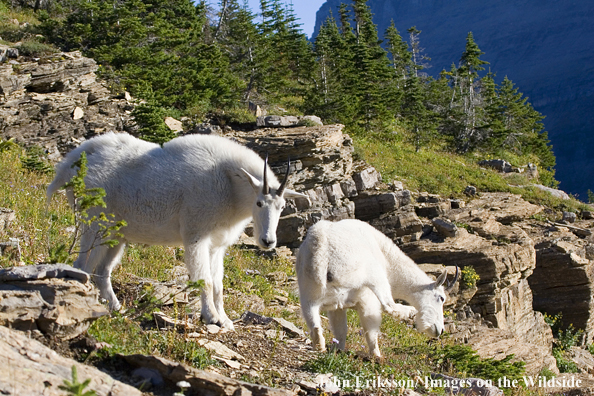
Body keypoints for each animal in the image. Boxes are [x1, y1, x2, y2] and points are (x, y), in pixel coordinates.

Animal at [46, 131, 308, 330]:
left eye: (282, 206)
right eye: (259, 203)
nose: (268, 241)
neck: (229, 186)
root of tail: (72, 163)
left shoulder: (216, 246)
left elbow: (218, 284)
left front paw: (225, 320)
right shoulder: (195, 235)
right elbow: (205, 280)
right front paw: (212, 318)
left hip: (116, 235)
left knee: (102, 271)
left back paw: (117, 308)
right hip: (95, 224)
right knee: (82, 265)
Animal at [296, 218, 458, 358]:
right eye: (441, 298)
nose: (439, 330)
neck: (387, 258)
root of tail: (320, 250)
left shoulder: (337, 308)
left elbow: (341, 329)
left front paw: (338, 349)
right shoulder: (367, 297)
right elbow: (371, 327)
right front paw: (376, 355)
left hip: (309, 292)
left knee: (313, 320)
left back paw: (320, 345)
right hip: (369, 275)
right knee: (387, 306)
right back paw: (410, 311)